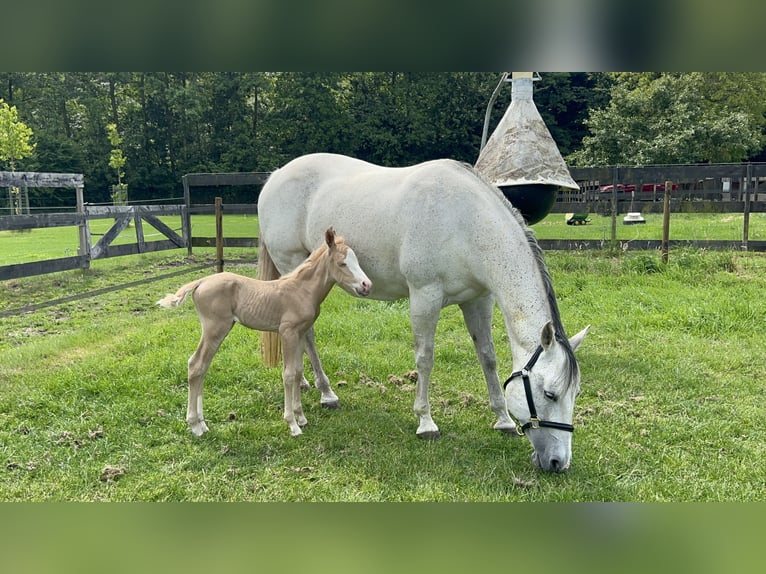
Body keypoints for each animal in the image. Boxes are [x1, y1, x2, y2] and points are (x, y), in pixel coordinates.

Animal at [158, 227, 372, 438]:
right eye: (342, 263)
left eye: (356, 261)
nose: (366, 285)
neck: (302, 290)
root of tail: (201, 282)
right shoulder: (287, 332)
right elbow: (288, 374)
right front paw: (292, 425)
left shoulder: (300, 333)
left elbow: (298, 371)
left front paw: (301, 417)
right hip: (214, 328)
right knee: (196, 364)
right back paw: (195, 426)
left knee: (202, 367)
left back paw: (202, 424)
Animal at [257, 153, 589, 473]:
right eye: (549, 394)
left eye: (574, 394)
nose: (558, 463)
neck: (464, 222)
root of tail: (276, 177)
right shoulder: (424, 297)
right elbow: (425, 359)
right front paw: (426, 423)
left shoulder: (479, 300)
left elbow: (488, 357)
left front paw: (503, 420)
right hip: (293, 267)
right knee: (307, 334)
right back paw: (326, 393)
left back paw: (303, 383)